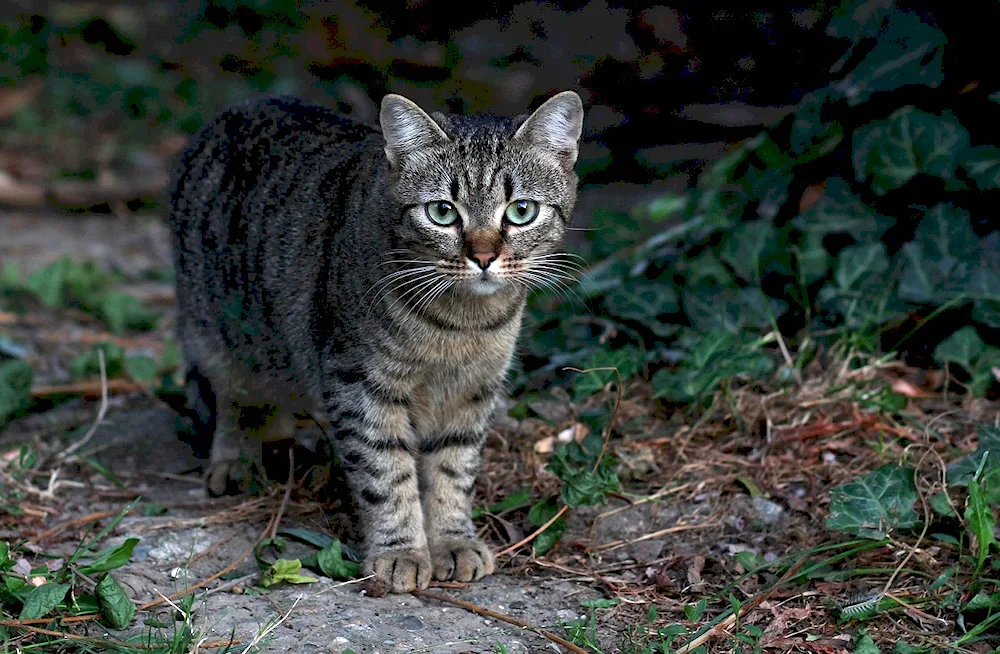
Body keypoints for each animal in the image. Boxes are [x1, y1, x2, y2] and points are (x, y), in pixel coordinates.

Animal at [168, 88, 584, 596]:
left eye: (521, 211)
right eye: (442, 212)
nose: (484, 256)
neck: (461, 326)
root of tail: (242, 105)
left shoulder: (473, 391)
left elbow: (454, 470)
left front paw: (453, 540)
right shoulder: (360, 385)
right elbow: (386, 474)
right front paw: (401, 550)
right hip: (217, 331)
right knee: (233, 398)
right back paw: (235, 460)